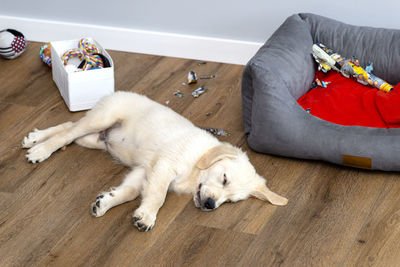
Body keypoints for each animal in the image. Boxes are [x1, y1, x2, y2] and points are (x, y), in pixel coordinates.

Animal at [21, 92, 288, 232]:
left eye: (231, 201)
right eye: (224, 179)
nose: (210, 205)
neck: (196, 165)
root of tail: (114, 93)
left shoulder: (144, 170)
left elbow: (130, 191)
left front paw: (106, 202)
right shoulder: (164, 166)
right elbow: (158, 195)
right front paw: (148, 216)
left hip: (93, 139)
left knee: (70, 129)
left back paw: (35, 138)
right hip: (103, 118)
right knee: (68, 132)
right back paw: (40, 149)